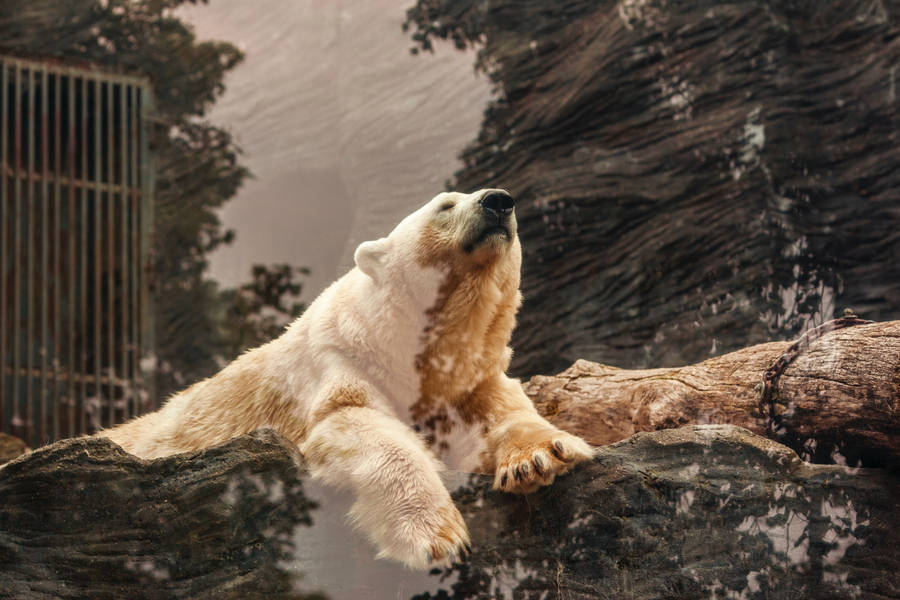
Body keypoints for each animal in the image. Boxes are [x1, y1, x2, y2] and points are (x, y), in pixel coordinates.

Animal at [102, 188, 594, 569]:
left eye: (505, 203)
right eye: (446, 204)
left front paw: (541, 458)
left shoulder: (467, 381)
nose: (498, 201)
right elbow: (353, 421)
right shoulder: (338, 360)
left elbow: (503, 411)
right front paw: (438, 538)